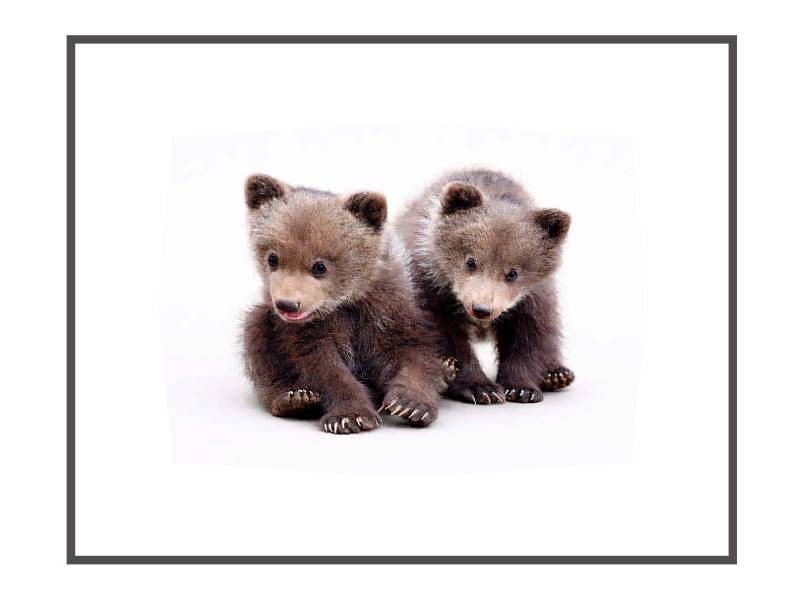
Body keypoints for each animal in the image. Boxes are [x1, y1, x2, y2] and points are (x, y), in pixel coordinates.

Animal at [241, 174, 447, 434]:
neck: (345, 301)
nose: (287, 304)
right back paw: (293, 399)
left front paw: (411, 405)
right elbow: (322, 366)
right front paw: (350, 416)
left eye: (320, 266)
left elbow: (413, 351)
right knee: (256, 338)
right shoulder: (309, 329)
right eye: (272, 258)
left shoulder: (390, 308)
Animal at [395, 168, 575, 405]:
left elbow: (528, 335)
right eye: (470, 261)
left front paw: (521, 388)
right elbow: (445, 336)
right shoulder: (431, 286)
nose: (481, 309)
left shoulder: (531, 297)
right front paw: (480, 388)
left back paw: (557, 374)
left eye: (513, 273)